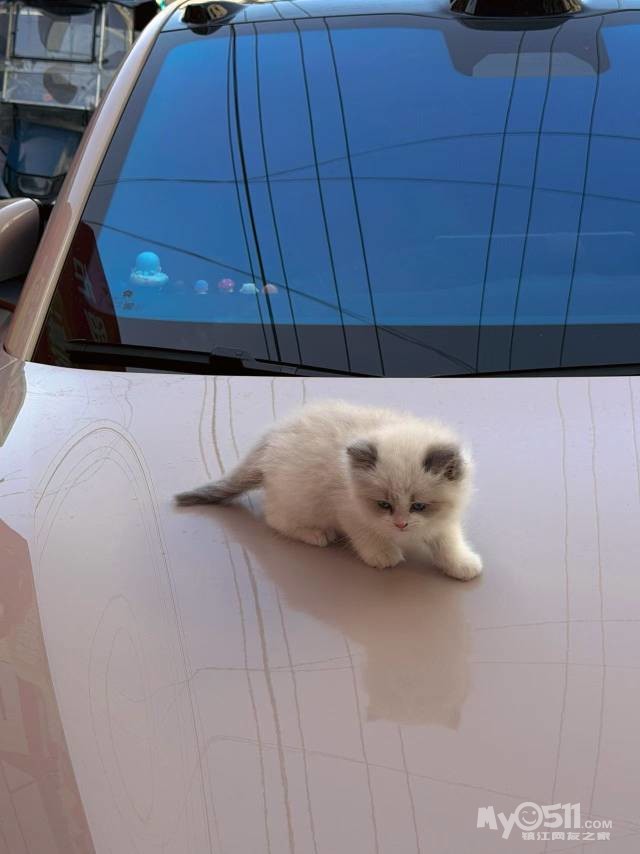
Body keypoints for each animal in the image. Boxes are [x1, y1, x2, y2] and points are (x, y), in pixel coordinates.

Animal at [175, 400, 482, 579]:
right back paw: (316, 534)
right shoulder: (346, 508)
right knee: (274, 518)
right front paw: (383, 555)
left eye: (419, 506)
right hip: (300, 499)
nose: (401, 524)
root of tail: (269, 439)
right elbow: (366, 534)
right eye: (384, 505)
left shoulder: (444, 518)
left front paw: (462, 564)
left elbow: (448, 541)